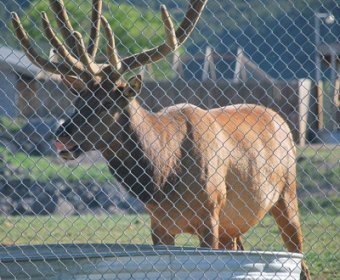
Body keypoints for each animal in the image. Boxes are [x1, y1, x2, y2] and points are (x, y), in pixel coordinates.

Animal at [10, 1, 310, 278]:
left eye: (107, 103)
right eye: (79, 99)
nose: (61, 135)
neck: (164, 173)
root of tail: (280, 119)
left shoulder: (211, 213)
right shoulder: (159, 224)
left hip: (287, 193)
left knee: (301, 258)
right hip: (234, 224)